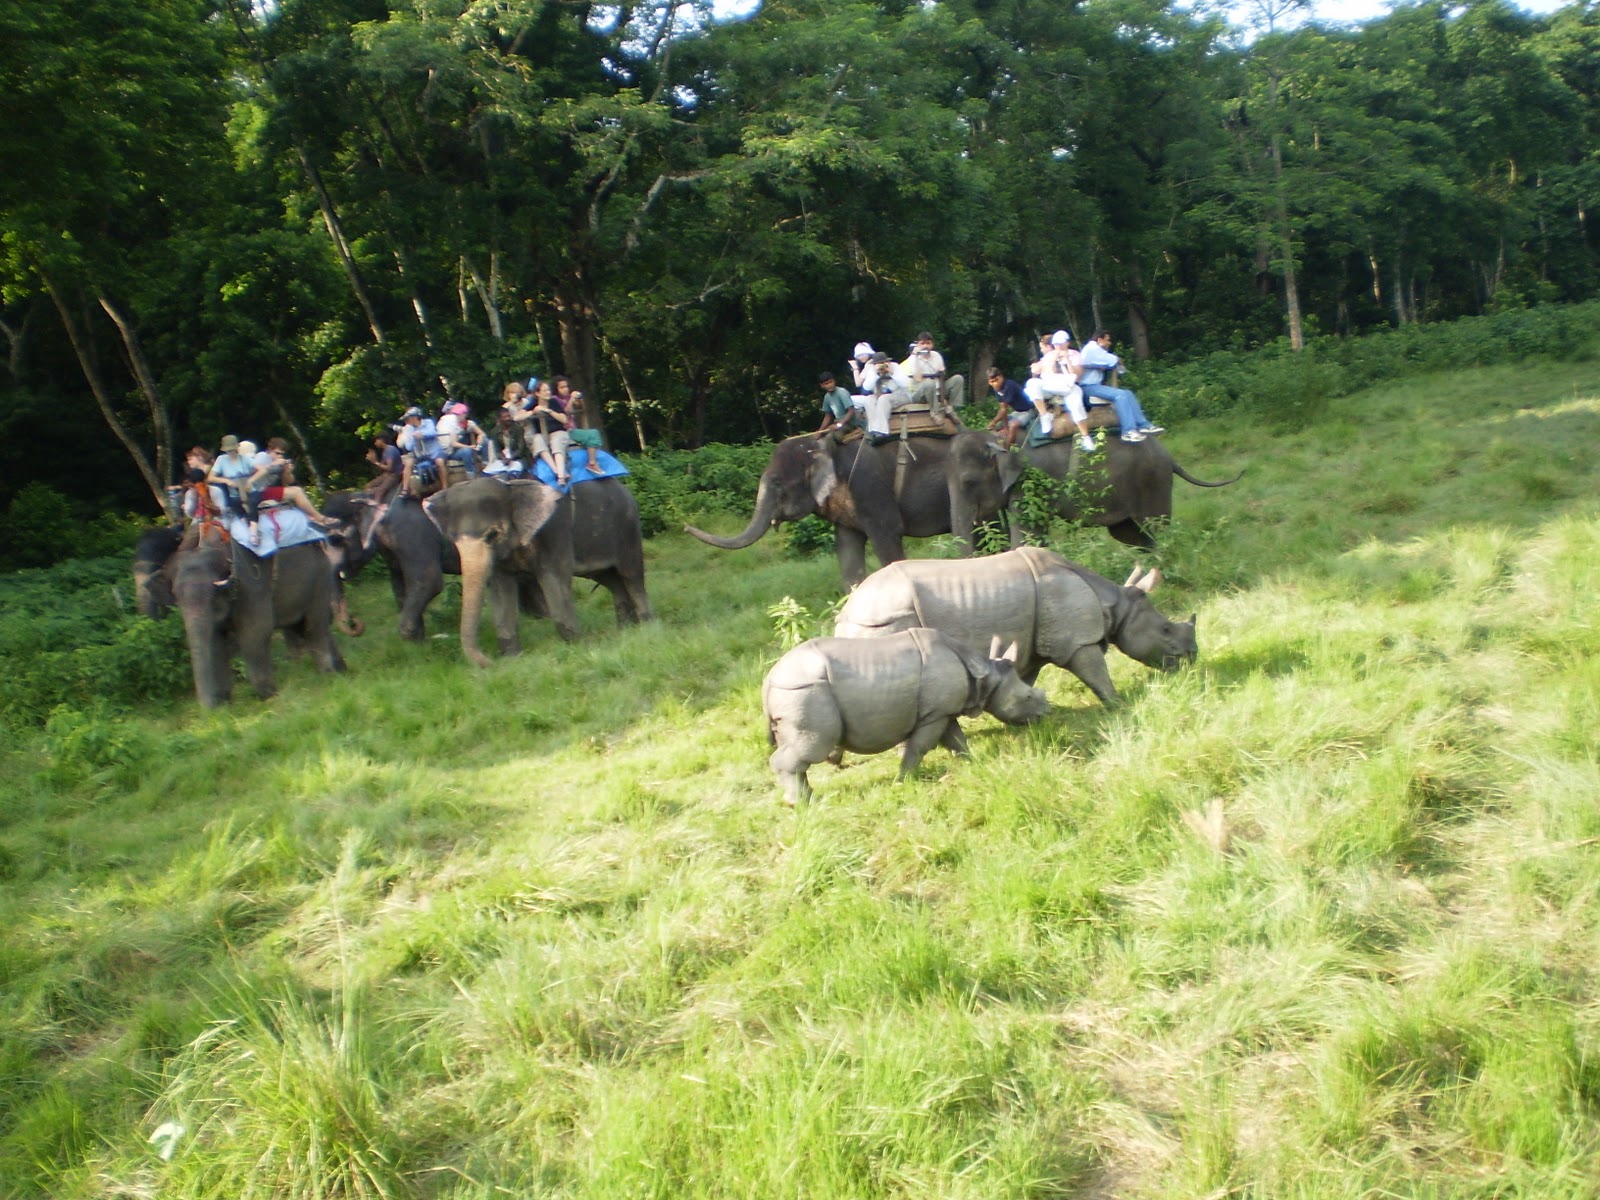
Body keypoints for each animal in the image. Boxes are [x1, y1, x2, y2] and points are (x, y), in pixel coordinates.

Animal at [135, 523, 346, 708]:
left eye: (214, 594)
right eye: (176, 597)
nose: (209, 712)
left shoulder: (250, 585)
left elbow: (254, 633)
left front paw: (269, 698)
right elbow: (215, 642)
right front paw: (225, 706)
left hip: (320, 575)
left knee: (314, 624)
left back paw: (327, 676)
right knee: (302, 626)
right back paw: (341, 670)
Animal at [423, 476, 654, 668]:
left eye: (491, 535)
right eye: (453, 540)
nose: (490, 663)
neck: (511, 487)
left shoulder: (554, 532)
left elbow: (553, 581)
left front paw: (581, 647)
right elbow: (501, 589)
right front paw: (512, 659)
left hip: (628, 528)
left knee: (631, 575)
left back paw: (646, 628)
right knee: (610, 579)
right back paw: (625, 631)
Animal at [684, 431, 1016, 588]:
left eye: (777, 482)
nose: (684, 527)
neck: (821, 443)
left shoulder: (869, 490)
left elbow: (887, 537)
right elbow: (847, 549)